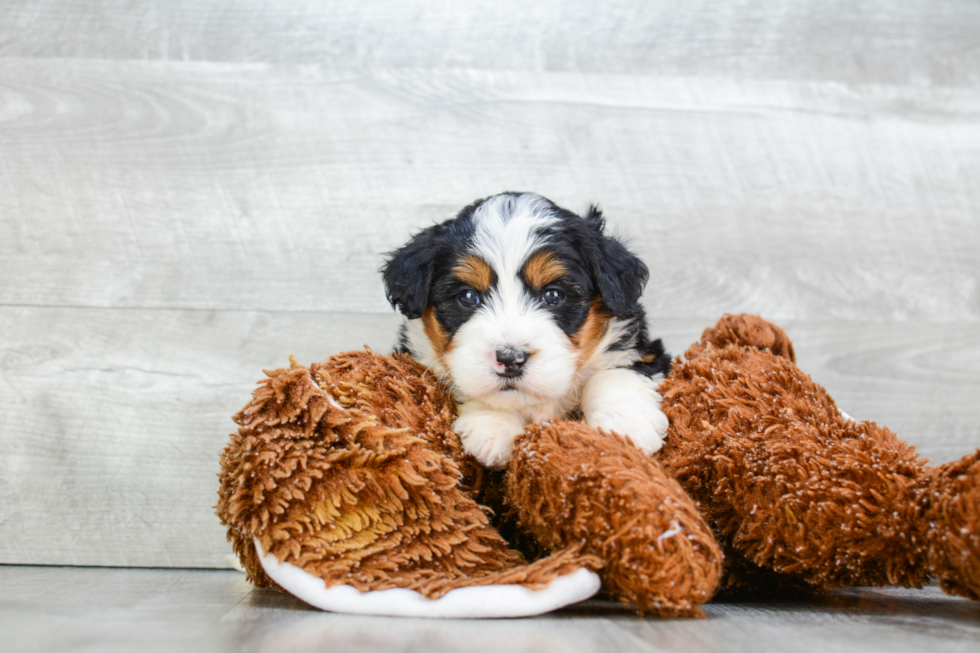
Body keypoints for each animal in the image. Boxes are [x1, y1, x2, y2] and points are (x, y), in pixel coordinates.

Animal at [378, 191, 668, 466]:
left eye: (553, 295)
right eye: (468, 297)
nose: (510, 359)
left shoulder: (641, 346)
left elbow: (615, 372)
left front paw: (627, 424)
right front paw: (492, 427)